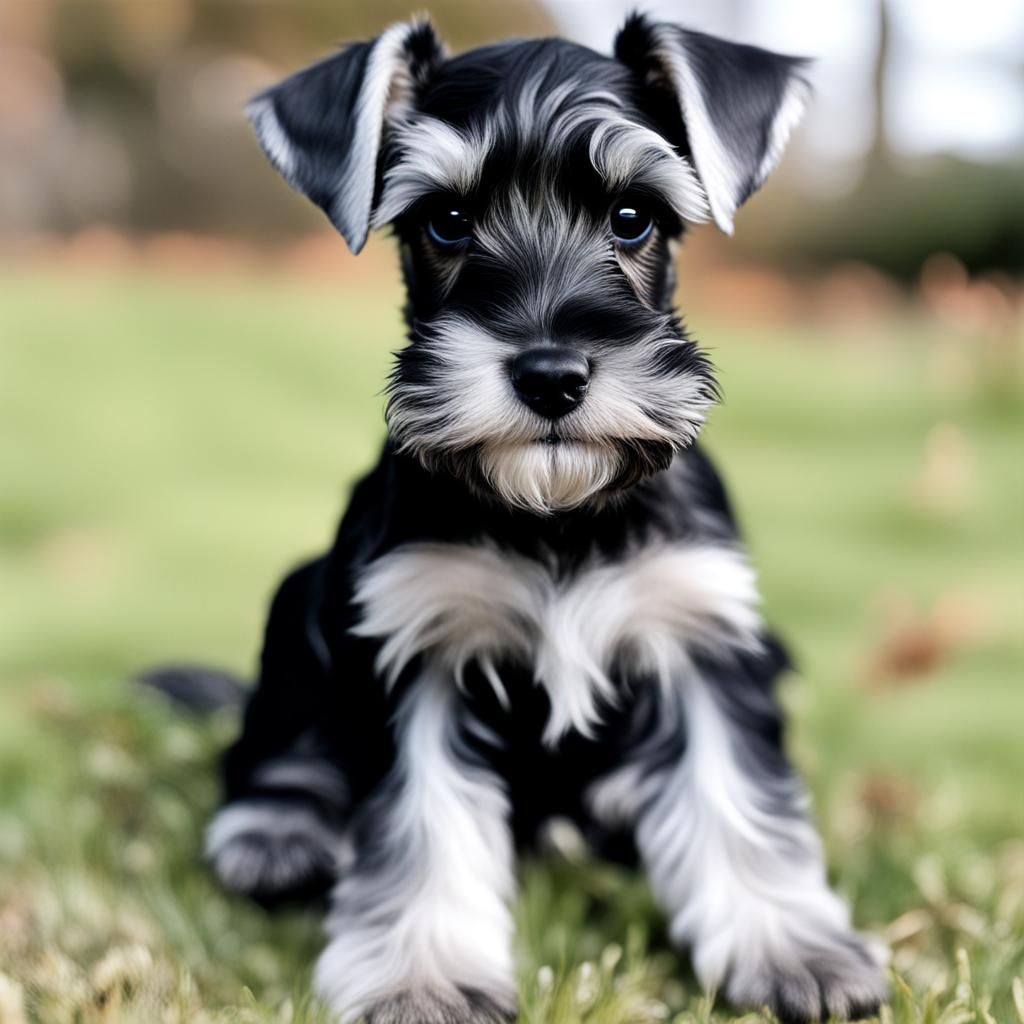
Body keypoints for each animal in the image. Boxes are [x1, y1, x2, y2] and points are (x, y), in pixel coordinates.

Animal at [199, 14, 888, 1024]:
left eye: (633, 216)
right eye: (446, 221)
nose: (551, 375)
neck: (558, 514)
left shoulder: (706, 638)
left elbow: (738, 802)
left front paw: (794, 951)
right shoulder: (417, 648)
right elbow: (422, 828)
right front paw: (424, 982)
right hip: (301, 600)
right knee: (273, 744)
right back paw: (275, 829)